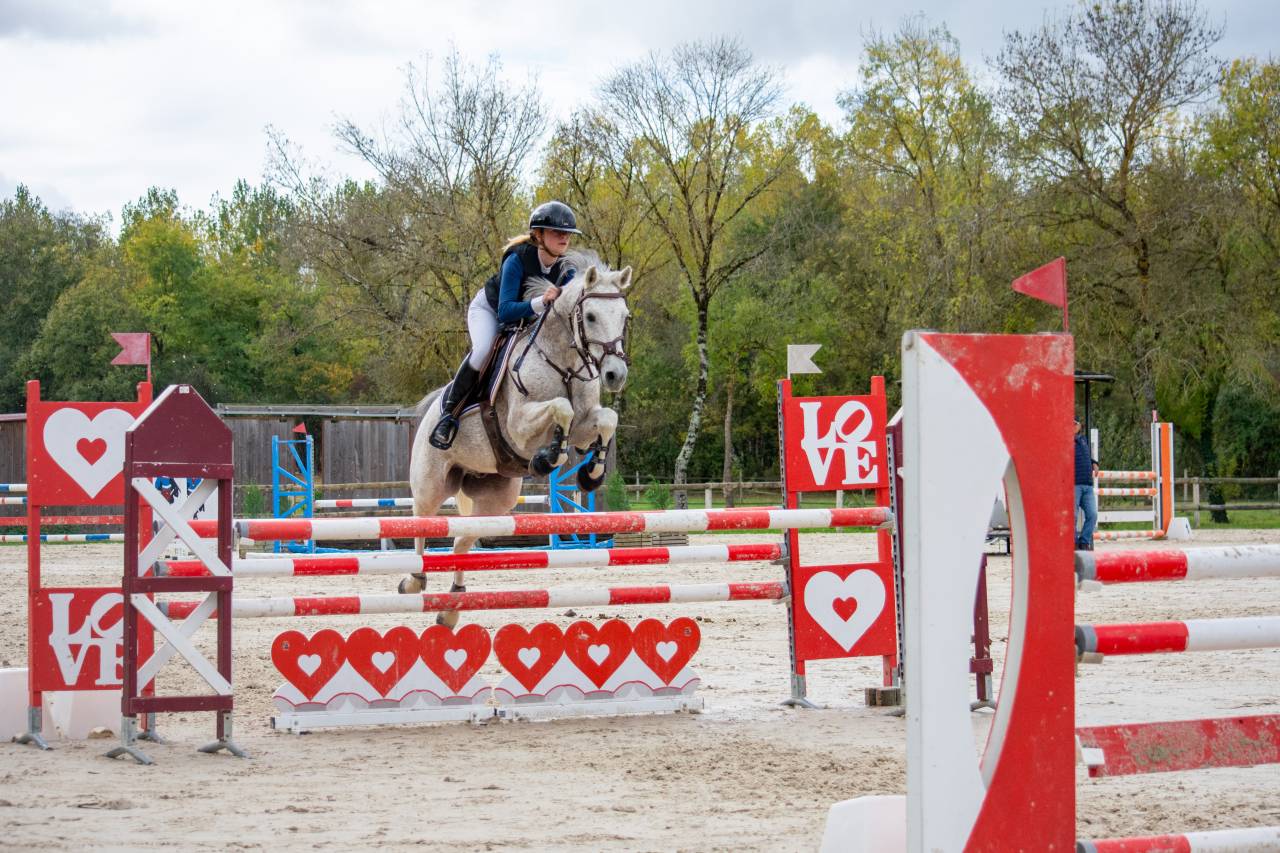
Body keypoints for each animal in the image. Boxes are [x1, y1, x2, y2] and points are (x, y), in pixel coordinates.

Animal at [400, 250, 633, 626]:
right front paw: (548, 457)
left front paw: (591, 472)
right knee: (420, 520)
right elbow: (561, 408)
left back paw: (451, 608)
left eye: (624, 317)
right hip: (431, 482)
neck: (564, 361)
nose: (615, 375)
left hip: (495, 500)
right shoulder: (519, 426)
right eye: (591, 316)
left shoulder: (585, 423)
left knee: (461, 542)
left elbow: (606, 419)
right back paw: (414, 579)